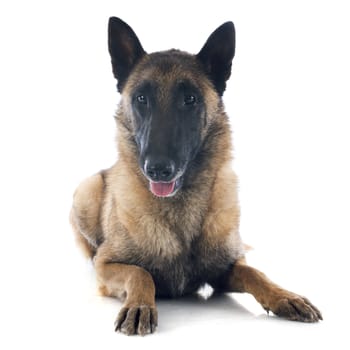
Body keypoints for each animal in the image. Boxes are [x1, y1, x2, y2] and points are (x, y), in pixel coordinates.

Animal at [70, 17, 322, 336]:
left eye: (190, 99)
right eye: (141, 98)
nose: (158, 168)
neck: (179, 211)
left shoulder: (226, 270)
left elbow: (255, 272)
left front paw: (284, 296)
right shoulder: (108, 266)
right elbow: (140, 274)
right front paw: (139, 305)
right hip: (86, 190)